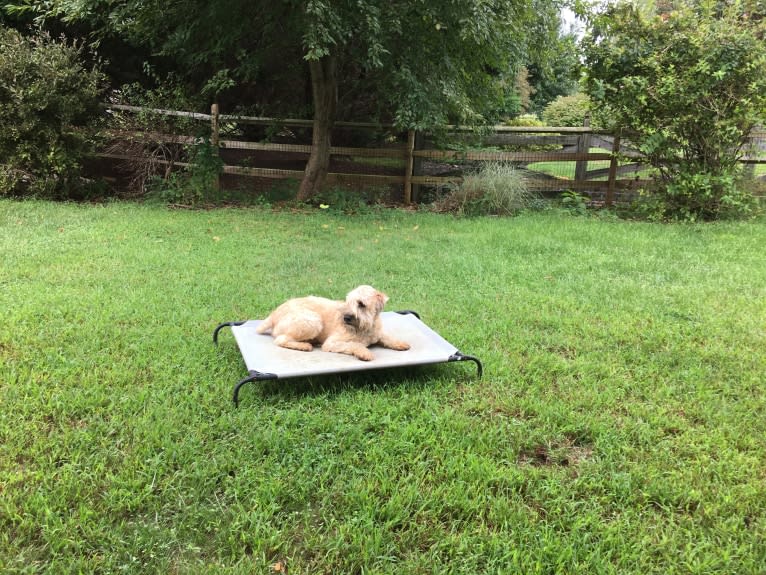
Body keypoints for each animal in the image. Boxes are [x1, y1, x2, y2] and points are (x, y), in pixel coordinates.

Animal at [255, 286, 412, 362]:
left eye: (361, 304)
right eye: (348, 301)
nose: (346, 318)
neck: (365, 328)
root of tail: (274, 314)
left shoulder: (378, 333)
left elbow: (387, 337)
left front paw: (400, 343)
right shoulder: (332, 343)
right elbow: (354, 344)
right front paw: (364, 352)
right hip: (313, 321)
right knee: (281, 340)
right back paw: (304, 345)